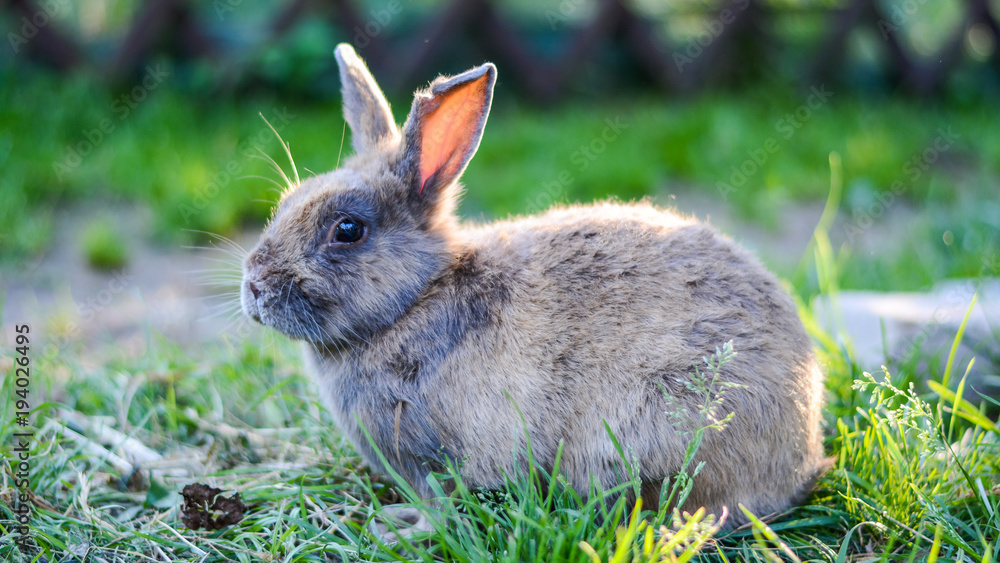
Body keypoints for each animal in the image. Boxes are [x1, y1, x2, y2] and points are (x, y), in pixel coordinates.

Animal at [240, 43, 829, 527]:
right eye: (287, 204)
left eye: (347, 230)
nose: (254, 286)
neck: (416, 299)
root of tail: (801, 450)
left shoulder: (452, 458)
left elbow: (446, 501)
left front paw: (404, 528)